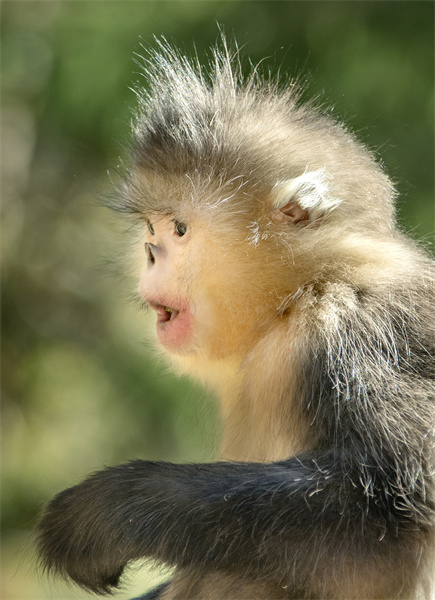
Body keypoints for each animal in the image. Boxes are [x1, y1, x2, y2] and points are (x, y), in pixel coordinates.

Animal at [37, 38, 435, 600]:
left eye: (179, 230)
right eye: (151, 228)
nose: (150, 251)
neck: (300, 297)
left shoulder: (356, 335)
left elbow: (390, 526)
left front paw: (109, 512)